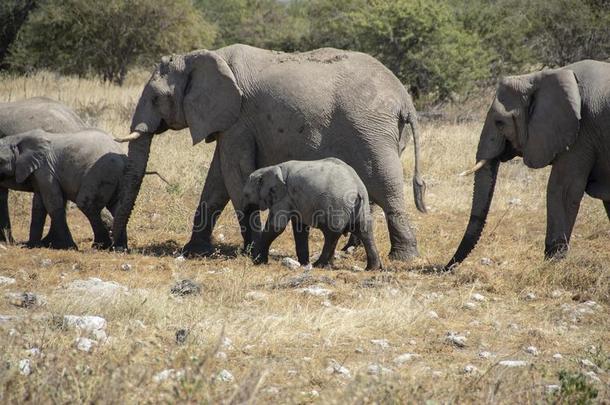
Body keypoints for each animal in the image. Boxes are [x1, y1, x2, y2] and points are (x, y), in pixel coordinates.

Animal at [242, 157, 380, 268]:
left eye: (246, 195)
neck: (272, 168)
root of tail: (358, 188)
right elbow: (300, 228)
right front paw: (303, 264)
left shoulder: (284, 197)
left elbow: (276, 227)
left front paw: (258, 262)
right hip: (361, 205)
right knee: (365, 231)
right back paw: (372, 268)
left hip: (337, 204)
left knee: (332, 234)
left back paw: (319, 265)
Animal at [446, 59, 608, 268]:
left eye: (499, 122)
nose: (446, 267)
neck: (540, 77)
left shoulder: (580, 133)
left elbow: (562, 190)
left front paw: (551, 265)